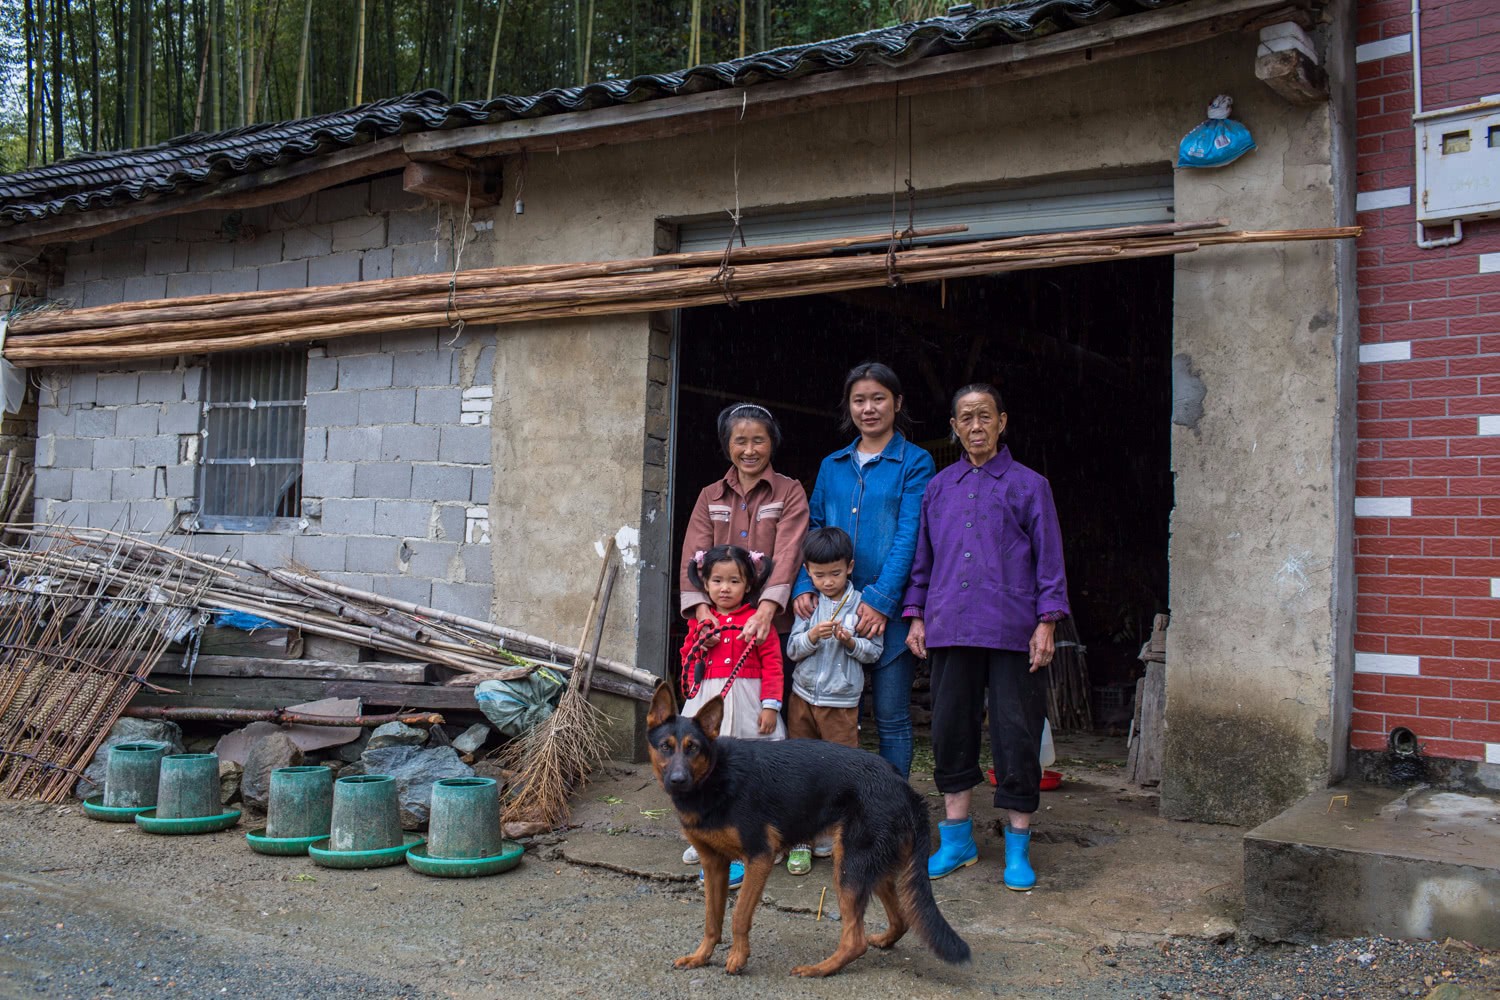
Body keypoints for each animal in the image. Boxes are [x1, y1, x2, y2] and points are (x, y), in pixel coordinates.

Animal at [645, 683, 972, 971]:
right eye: (665, 747)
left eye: (693, 748)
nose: (677, 781)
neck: (715, 775)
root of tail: (903, 786)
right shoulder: (714, 865)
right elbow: (712, 920)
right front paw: (701, 957)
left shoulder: (759, 858)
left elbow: (738, 916)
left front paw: (738, 958)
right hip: (869, 867)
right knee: (899, 920)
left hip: (849, 868)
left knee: (855, 940)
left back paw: (819, 969)